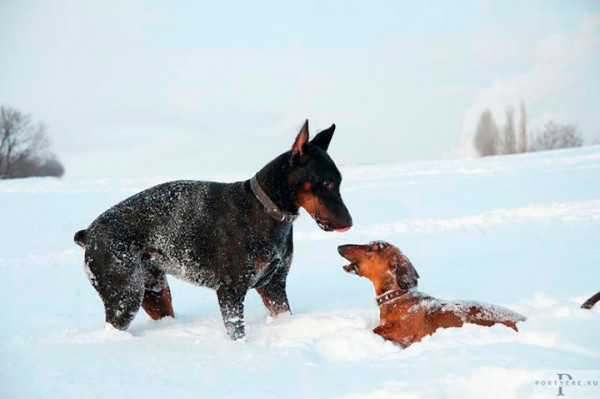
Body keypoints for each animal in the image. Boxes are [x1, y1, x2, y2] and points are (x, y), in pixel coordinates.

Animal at [74, 120, 352, 340]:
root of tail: (89, 233)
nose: (349, 222)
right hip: (125, 295)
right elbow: (237, 332)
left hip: (155, 292)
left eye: (339, 181)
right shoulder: (230, 291)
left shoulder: (274, 286)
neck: (265, 210)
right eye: (326, 182)